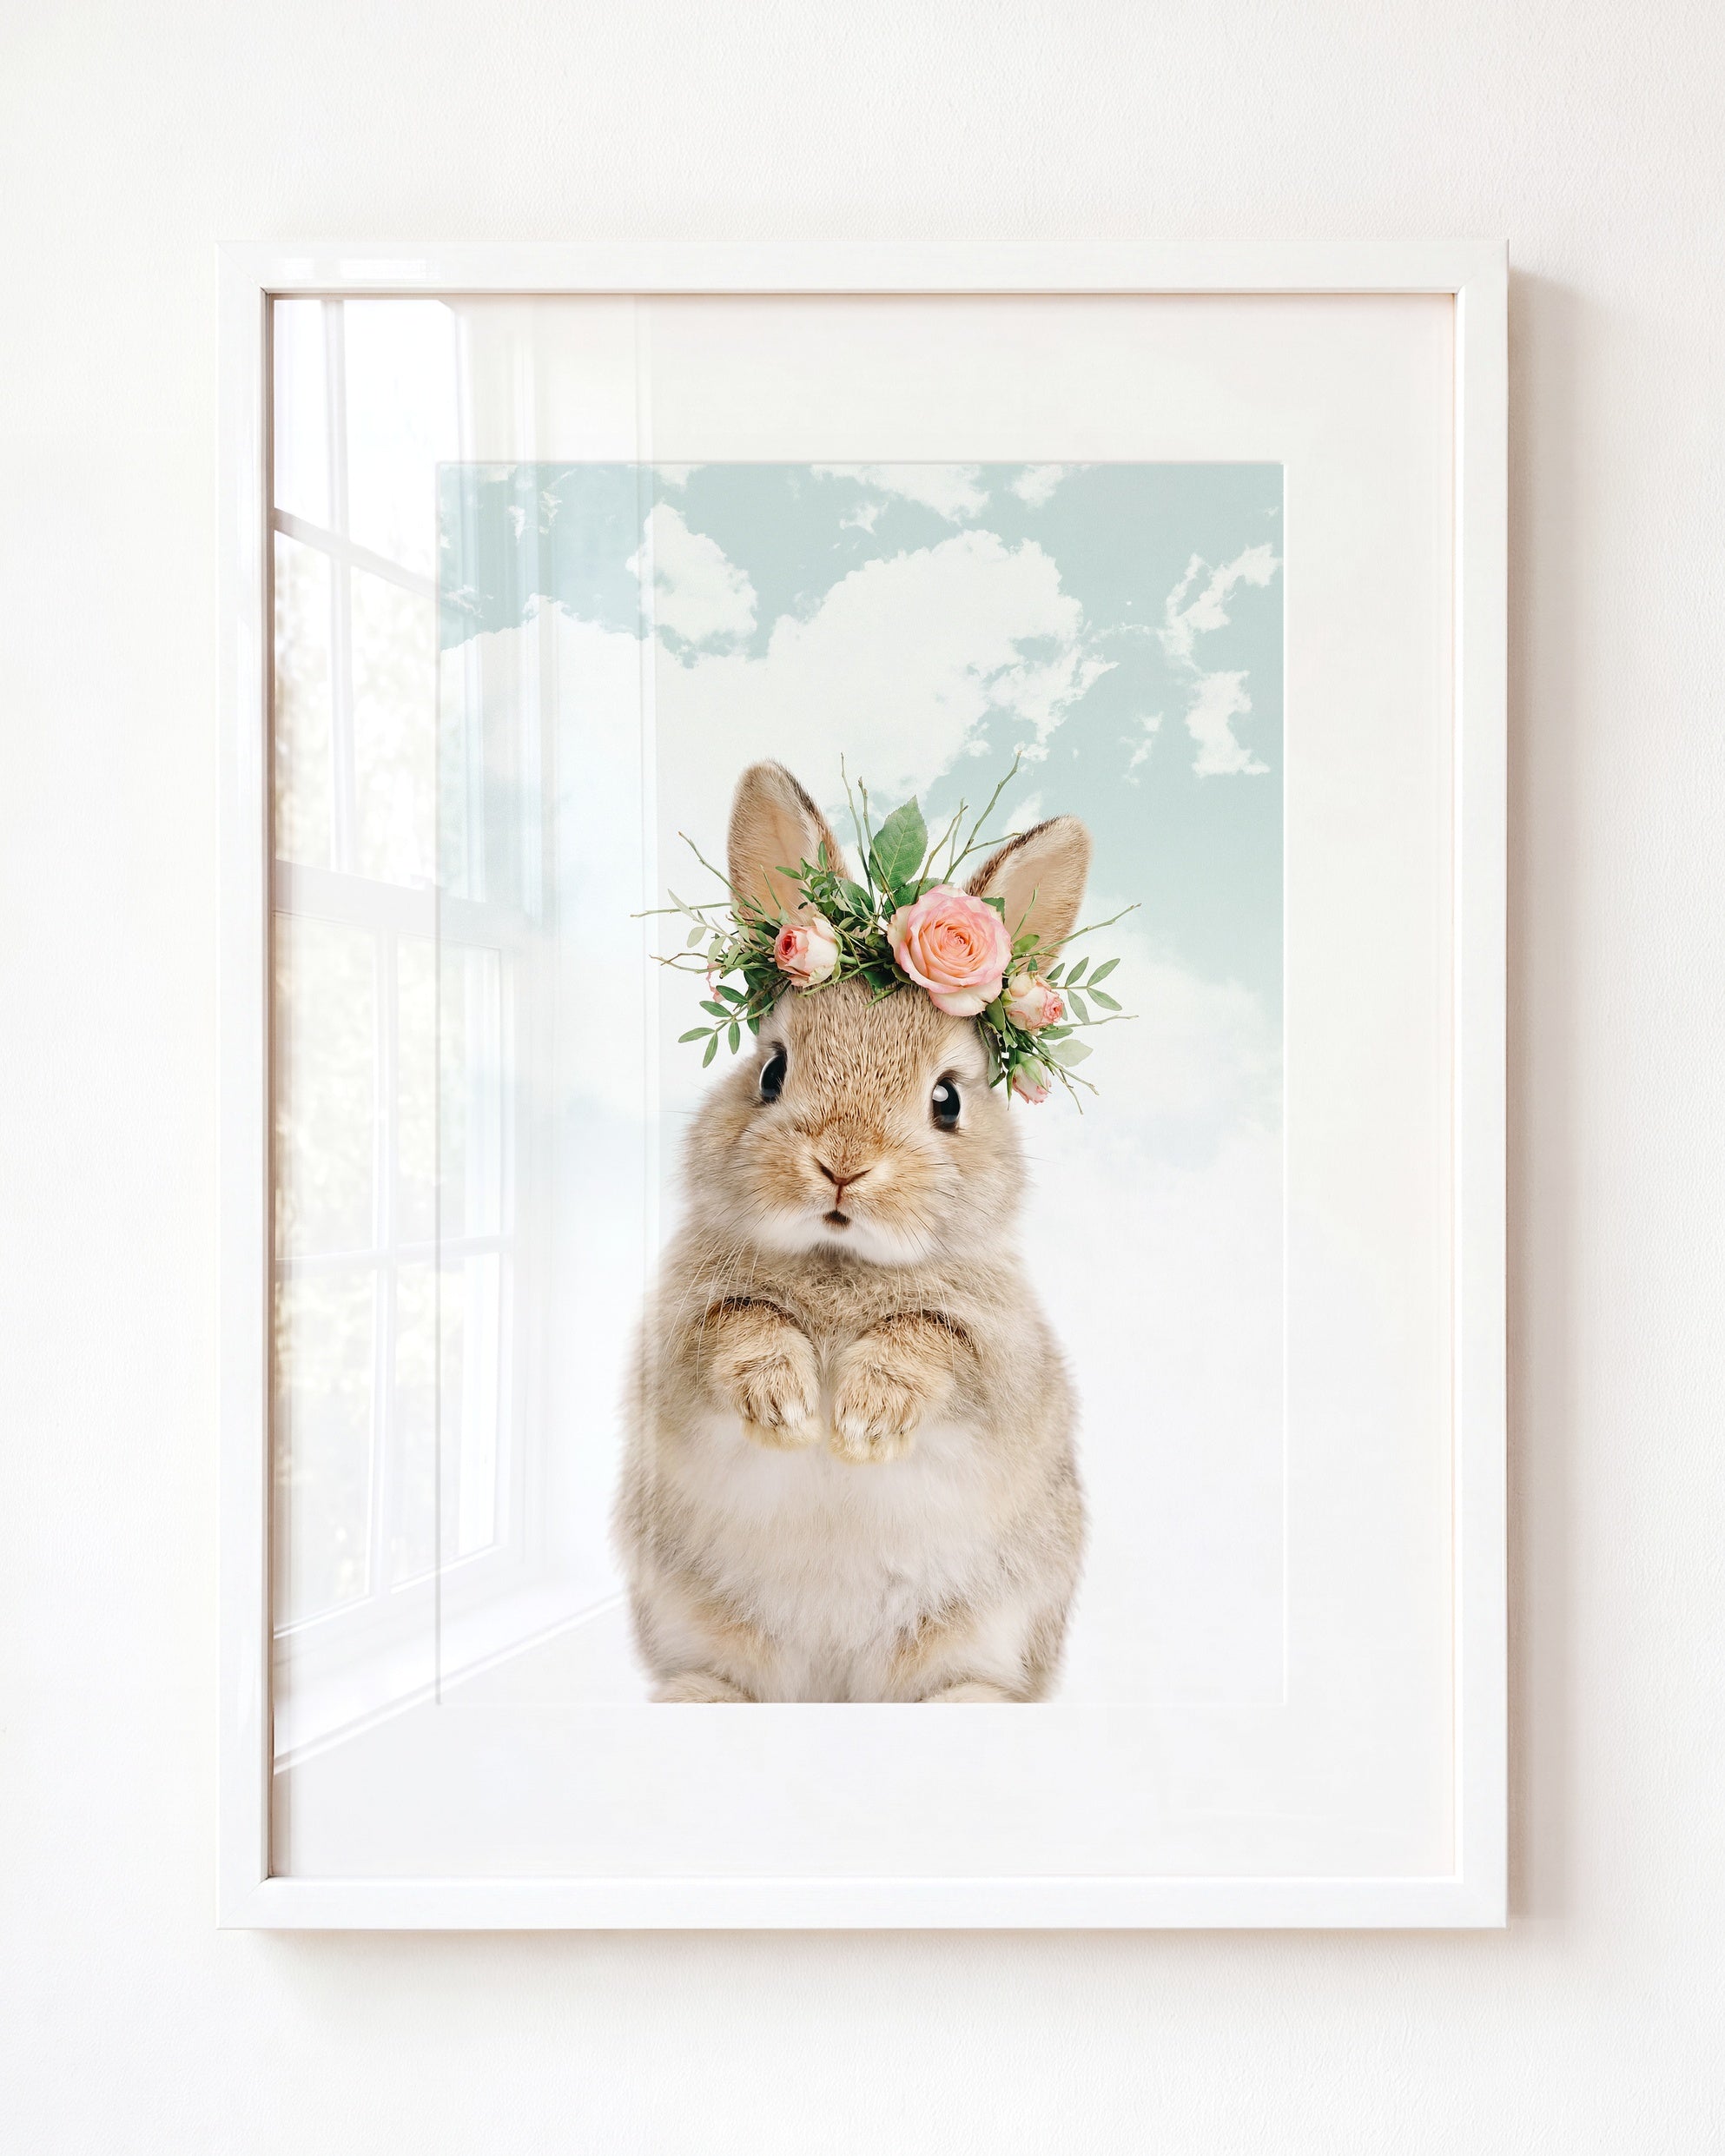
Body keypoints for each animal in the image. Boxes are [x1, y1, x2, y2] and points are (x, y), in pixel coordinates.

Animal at [615, 760, 1088, 1702]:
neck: (839, 1260)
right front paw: (787, 1406)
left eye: (947, 1099)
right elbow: (741, 1324)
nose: (842, 1164)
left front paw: (864, 1421)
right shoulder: (679, 1340)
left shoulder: (1001, 1358)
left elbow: (931, 1340)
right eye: (770, 1071)